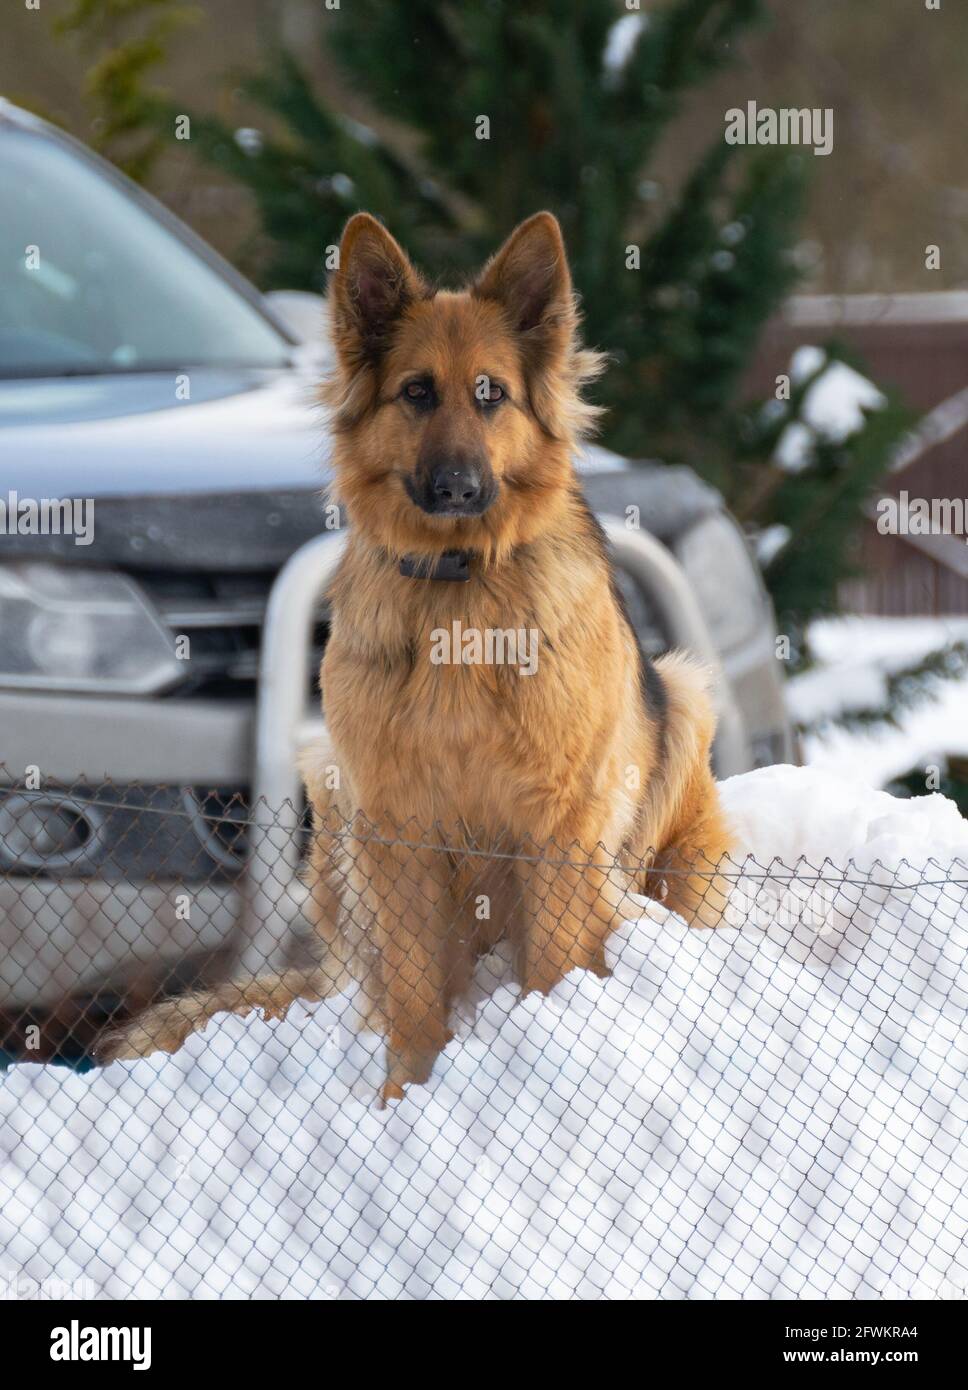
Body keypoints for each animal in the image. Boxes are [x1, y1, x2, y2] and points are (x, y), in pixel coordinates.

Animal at [100, 208, 734, 1095]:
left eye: (491, 394)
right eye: (417, 392)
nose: (457, 489)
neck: (457, 592)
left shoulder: (558, 823)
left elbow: (553, 959)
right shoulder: (396, 826)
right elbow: (411, 992)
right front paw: (404, 1095)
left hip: (682, 701)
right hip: (331, 782)